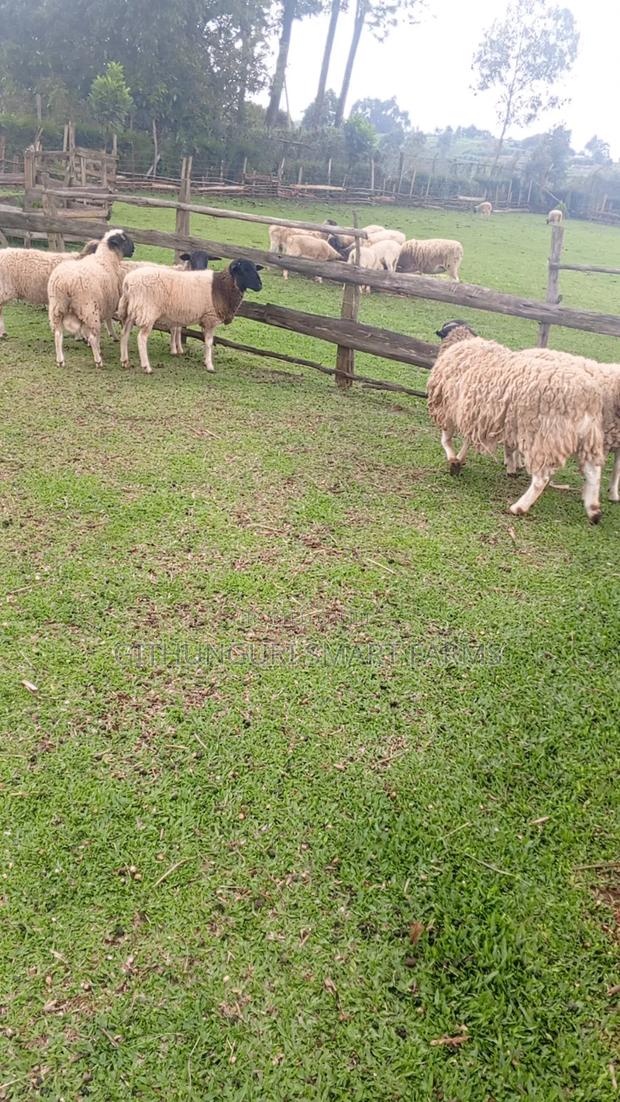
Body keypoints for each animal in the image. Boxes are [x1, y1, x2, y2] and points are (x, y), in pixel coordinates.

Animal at [47, 229, 134, 368]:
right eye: (124, 239)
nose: (133, 249)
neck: (107, 258)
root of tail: (66, 282)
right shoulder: (106, 303)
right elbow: (106, 323)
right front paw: (104, 342)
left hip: (57, 308)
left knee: (58, 334)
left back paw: (60, 360)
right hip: (88, 307)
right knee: (93, 334)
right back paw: (98, 360)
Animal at [118, 258, 263, 375]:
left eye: (255, 268)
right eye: (244, 270)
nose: (260, 286)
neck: (221, 287)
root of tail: (127, 282)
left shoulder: (206, 320)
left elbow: (205, 341)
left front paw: (205, 361)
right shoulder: (210, 318)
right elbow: (209, 342)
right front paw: (210, 366)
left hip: (131, 311)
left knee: (124, 333)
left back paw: (125, 361)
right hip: (147, 311)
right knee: (141, 338)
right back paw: (146, 367)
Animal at [427, 320, 608, 522]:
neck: (461, 343)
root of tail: (589, 397)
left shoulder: (448, 407)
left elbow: (446, 439)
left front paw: (453, 461)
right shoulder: (473, 414)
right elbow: (467, 441)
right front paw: (459, 460)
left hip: (545, 436)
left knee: (541, 478)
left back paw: (519, 507)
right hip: (587, 436)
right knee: (594, 472)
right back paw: (594, 511)